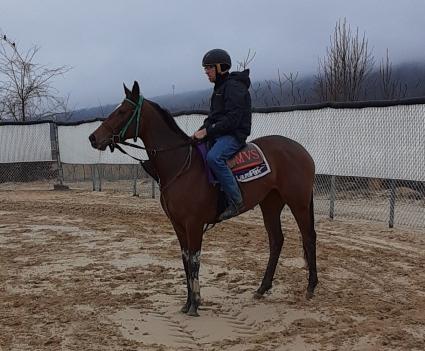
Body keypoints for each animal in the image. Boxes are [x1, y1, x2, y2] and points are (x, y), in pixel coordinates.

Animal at [88, 82, 314, 316]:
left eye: (123, 111)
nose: (94, 138)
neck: (180, 165)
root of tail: (301, 149)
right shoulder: (178, 225)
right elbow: (186, 259)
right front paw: (187, 302)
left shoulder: (194, 224)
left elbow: (195, 260)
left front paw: (195, 304)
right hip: (270, 204)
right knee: (276, 240)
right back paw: (262, 288)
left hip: (298, 203)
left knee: (308, 237)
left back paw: (310, 287)